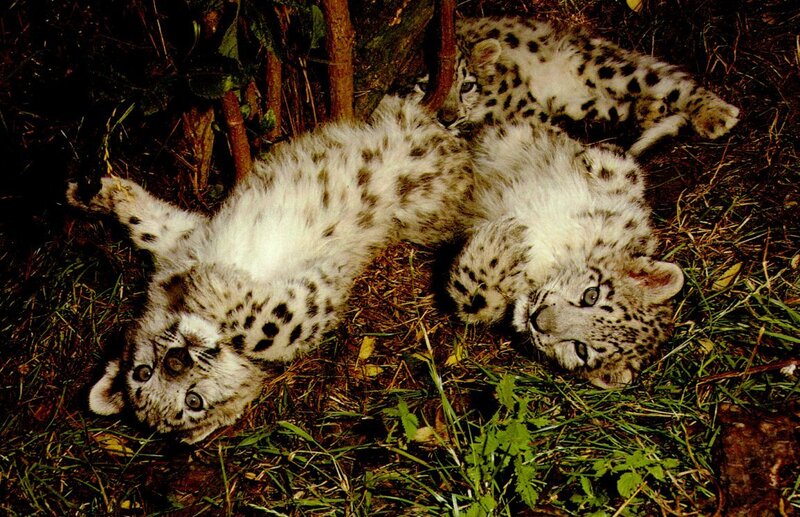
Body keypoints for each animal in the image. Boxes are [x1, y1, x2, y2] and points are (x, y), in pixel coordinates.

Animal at [67, 95, 475, 443]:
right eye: (192, 401)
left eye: (142, 372)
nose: (177, 359)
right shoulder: (315, 299)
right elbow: (264, 324)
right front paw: (209, 282)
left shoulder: (186, 241)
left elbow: (150, 227)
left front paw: (96, 194)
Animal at [402, 16, 740, 156]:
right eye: (423, 86)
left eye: (467, 86)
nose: (448, 118)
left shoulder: (523, 104)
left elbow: (552, 134)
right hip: (583, 103)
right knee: (623, 106)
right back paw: (649, 109)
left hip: (605, 68)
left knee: (673, 83)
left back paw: (717, 115)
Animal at [448, 120, 684, 389]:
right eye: (591, 295)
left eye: (581, 350)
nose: (538, 319)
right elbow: (617, 168)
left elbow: (476, 301)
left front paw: (504, 240)